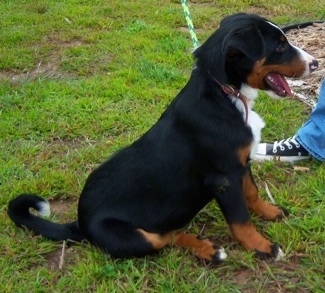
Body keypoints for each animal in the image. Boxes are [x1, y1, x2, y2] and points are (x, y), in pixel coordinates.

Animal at [7, 13, 316, 262]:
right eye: (279, 47)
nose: (314, 64)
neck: (224, 96)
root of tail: (80, 223)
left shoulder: (242, 163)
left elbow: (251, 193)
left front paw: (271, 212)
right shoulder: (223, 177)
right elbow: (240, 219)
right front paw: (262, 247)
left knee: (169, 233)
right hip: (132, 237)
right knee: (163, 239)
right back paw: (209, 251)